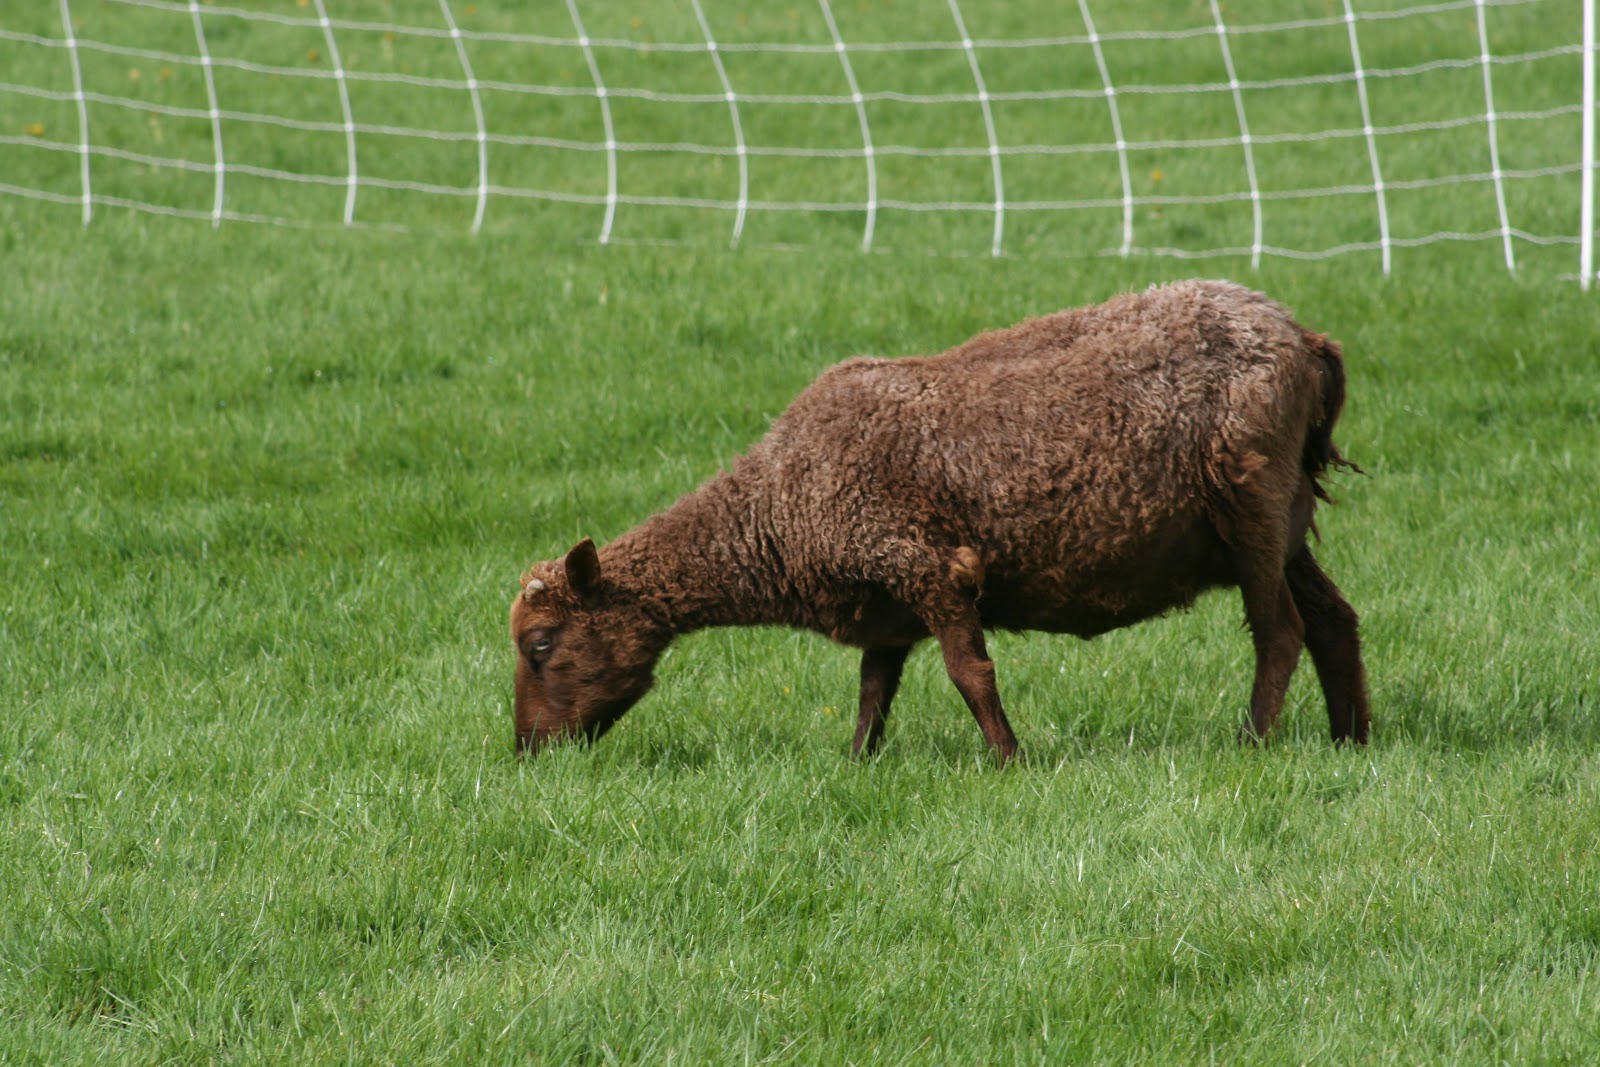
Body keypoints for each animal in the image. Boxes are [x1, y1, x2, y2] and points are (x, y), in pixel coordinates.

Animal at [509, 279, 1370, 761]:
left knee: (1281, 632)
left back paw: (1252, 744)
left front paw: (1008, 760)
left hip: (1252, 508)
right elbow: (872, 693)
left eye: (541, 643)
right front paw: (858, 765)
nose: (525, 752)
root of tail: (1306, 339)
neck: (774, 507)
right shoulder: (885, 605)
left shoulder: (927, 565)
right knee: (1334, 620)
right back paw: (1351, 741)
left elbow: (970, 673)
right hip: (1284, 517)